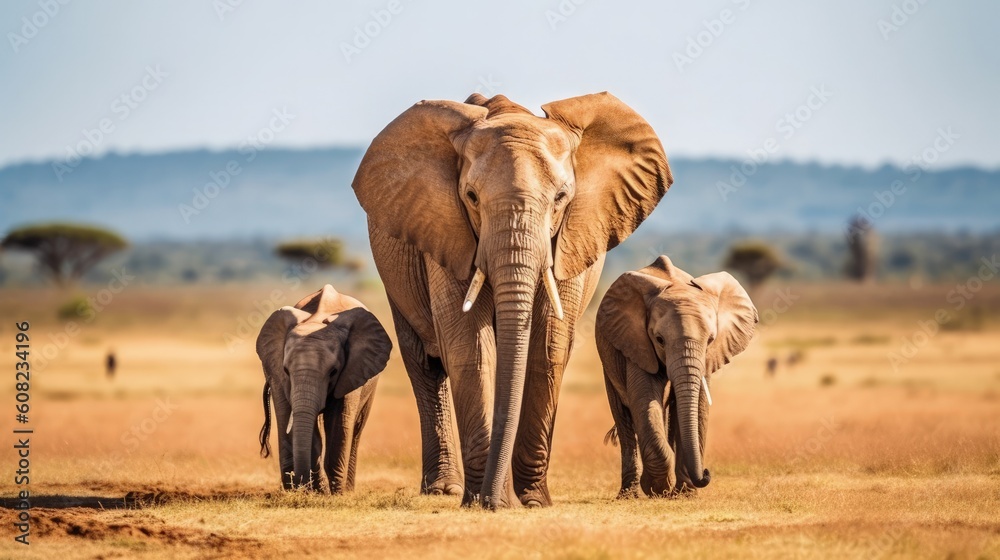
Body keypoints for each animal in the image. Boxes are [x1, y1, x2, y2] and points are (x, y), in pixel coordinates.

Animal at [256, 285, 392, 492]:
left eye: (333, 371)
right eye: (286, 370)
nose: (301, 485)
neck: (317, 321)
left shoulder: (353, 369)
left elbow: (339, 421)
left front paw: (335, 493)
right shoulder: (275, 370)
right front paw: (316, 490)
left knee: (356, 429)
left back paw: (347, 489)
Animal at [352, 92, 672, 508]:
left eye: (561, 198)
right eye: (471, 197)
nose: (491, 501)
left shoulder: (572, 238)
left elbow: (548, 345)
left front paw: (532, 502)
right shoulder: (447, 233)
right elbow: (469, 346)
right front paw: (486, 501)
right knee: (424, 363)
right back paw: (444, 489)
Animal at [596, 256, 757, 497]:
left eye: (711, 340)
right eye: (659, 339)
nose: (706, 473)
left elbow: (698, 406)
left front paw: (684, 494)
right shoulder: (636, 342)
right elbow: (645, 398)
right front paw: (657, 488)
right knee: (623, 414)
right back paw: (629, 494)